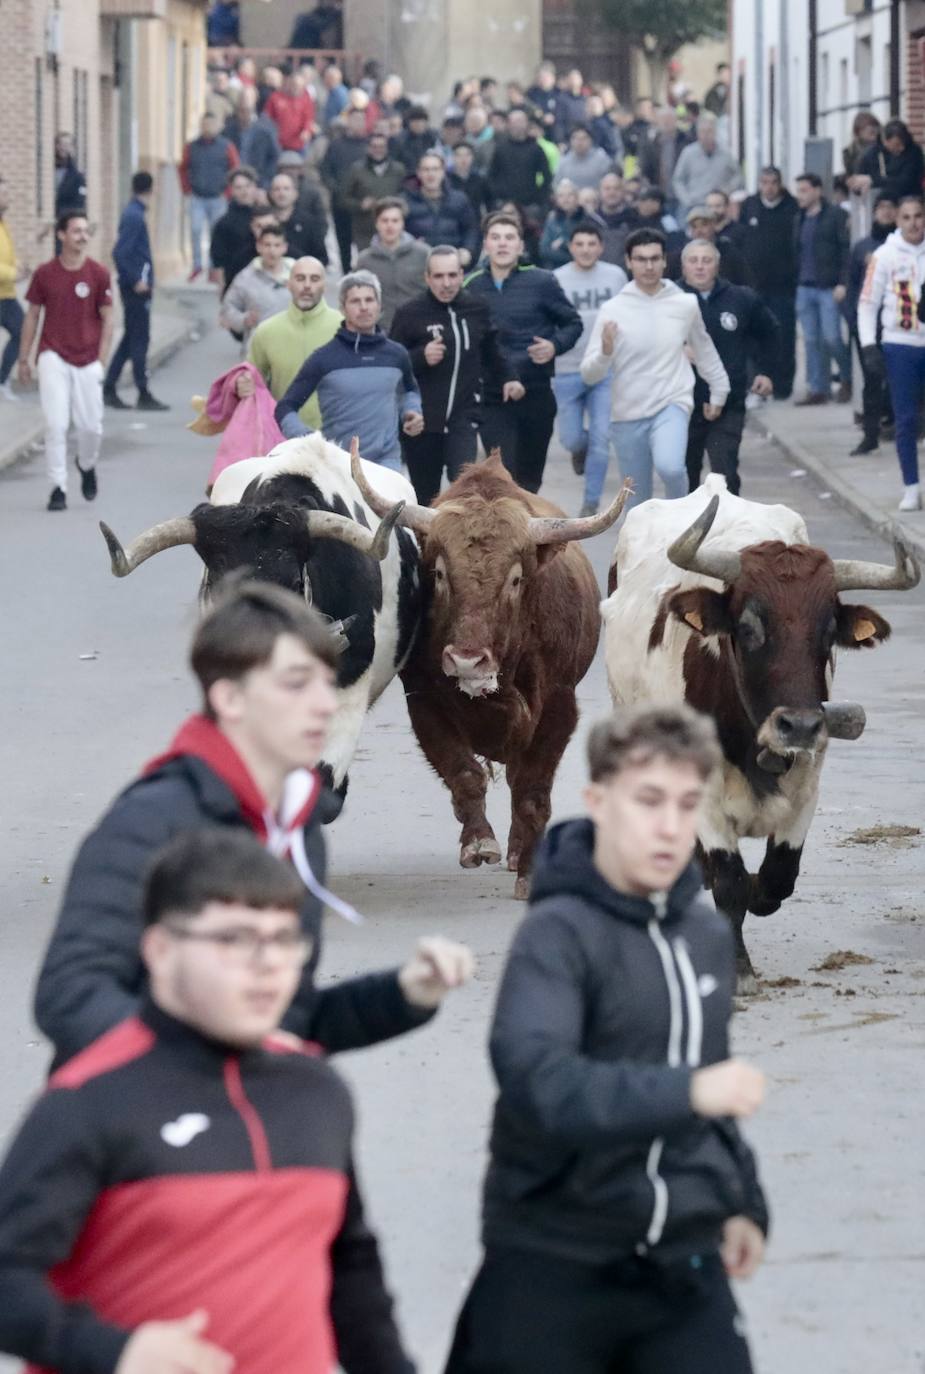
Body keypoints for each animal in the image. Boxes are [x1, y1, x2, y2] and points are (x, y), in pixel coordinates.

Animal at [350, 450, 632, 895]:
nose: (467, 660)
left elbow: (532, 792)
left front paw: (529, 870)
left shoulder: (559, 708)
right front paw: (479, 842)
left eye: (515, 579)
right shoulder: (425, 703)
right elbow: (464, 773)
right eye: (440, 573)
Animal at [599, 475, 918, 989]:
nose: (799, 724)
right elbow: (729, 882)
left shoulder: (808, 783)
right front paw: (738, 966)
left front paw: (756, 890)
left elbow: (777, 878)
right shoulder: (704, 797)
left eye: (828, 632)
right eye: (748, 627)